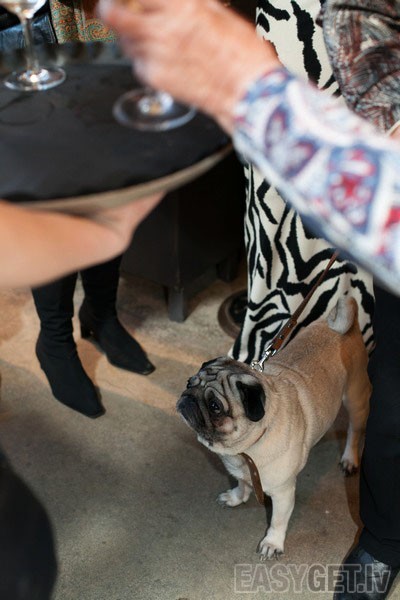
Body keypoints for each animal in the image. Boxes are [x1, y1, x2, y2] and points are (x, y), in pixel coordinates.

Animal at [176, 296, 371, 559]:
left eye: (215, 406)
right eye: (189, 383)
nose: (188, 398)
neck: (246, 448)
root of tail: (339, 327)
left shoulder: (283, 492)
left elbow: (278, 521)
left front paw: (273, 542)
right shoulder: (241, 473)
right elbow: (242, 485)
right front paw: (237, 497)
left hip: (355, 399)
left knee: (354, 430)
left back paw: (350, 458)